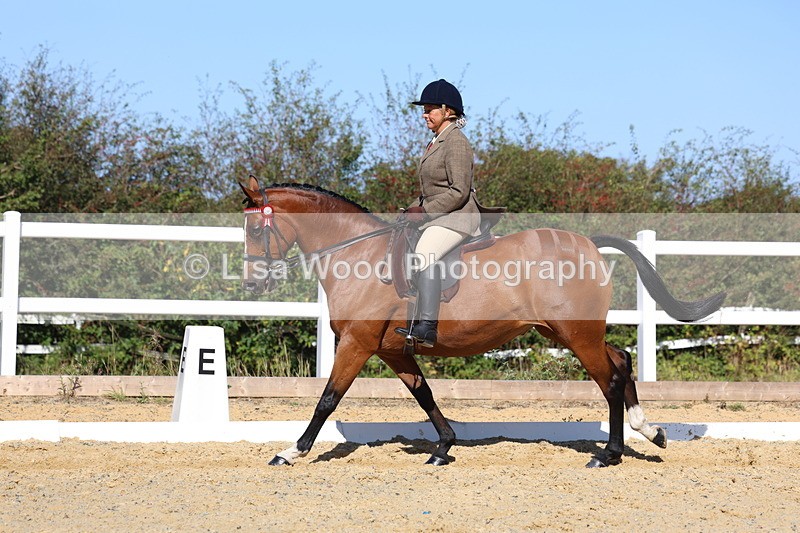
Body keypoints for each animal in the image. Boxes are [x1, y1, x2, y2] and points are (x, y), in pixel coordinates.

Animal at [239, 177, 725, 467]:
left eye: (257, 230)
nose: (252, 282)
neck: (357, 254)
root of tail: (587, 242)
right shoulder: (392, 350)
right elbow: (424, 395)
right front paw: (443, 447)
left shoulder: (357, 344)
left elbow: (327, 399)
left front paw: (291, 451)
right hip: (565, 331)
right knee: (621, 360)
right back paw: (651, 433)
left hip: (576, 334)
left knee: (609, 379)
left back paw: (609, 455)